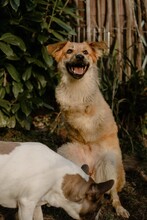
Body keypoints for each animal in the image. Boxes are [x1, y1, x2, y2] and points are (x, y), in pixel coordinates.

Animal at [47, 40, 130, 218]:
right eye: (69, 51)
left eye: (85, 52)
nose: (79, 57)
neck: (76, 87)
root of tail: (90, 172)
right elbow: (67, 109)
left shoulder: (91, 116)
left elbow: (83, 111)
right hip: (67, 151)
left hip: (109, 161)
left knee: (113, 194)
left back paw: (119, 208)